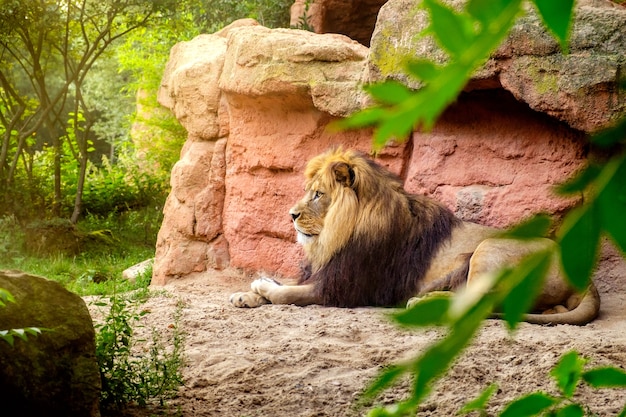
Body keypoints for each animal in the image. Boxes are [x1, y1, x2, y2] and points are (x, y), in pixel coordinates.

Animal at [229, 147, 600, 324]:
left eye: (319, 194)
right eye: (309, 192)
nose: (291, 215)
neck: (337, 234)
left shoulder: (342, 288)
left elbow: (288, 293)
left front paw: (261, 287)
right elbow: (285, 284)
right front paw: (246, 295)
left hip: (488, 249)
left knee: (479, 304)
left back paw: (422, 302)